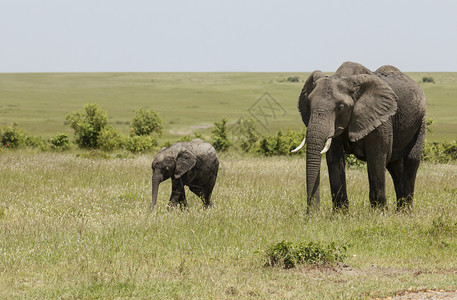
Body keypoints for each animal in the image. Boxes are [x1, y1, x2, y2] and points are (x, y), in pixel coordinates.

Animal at [290, 61, 426, 212]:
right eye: (308, 104)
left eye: (341, 107)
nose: (312, 213)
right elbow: (334, 160)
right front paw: (340, 214)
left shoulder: (381, 120)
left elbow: (376, 159)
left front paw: (379, 214)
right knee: (395, 167)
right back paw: (399, 212)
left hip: (420, 122)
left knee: (411, 162)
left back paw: (404, 213)